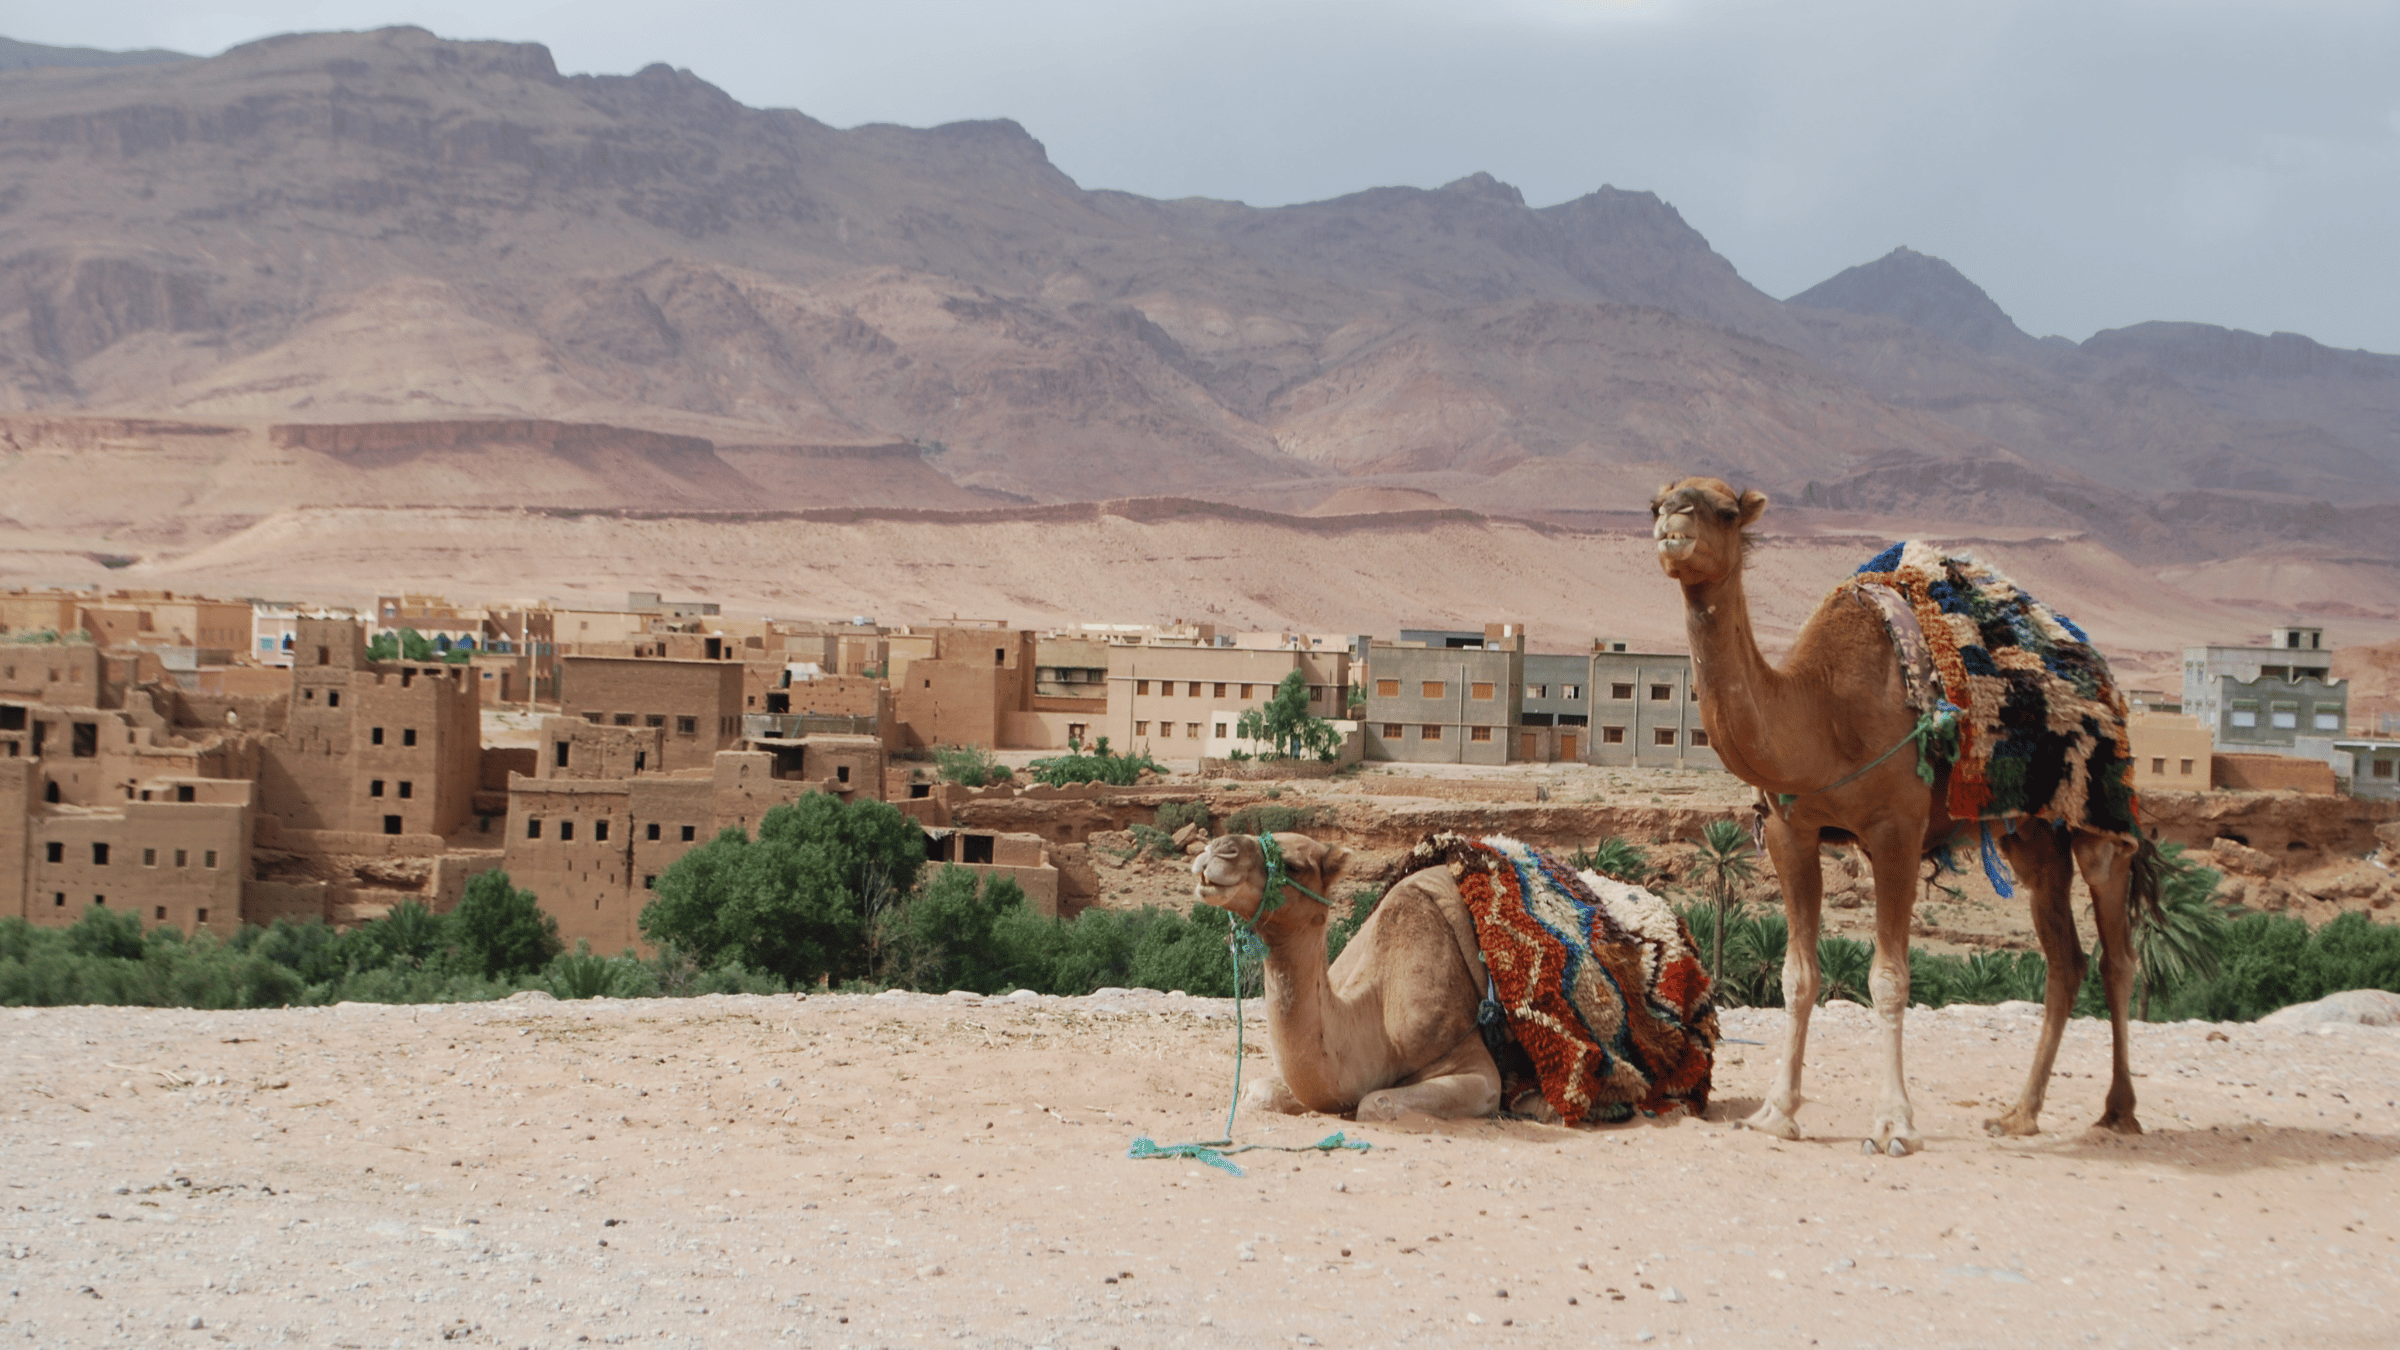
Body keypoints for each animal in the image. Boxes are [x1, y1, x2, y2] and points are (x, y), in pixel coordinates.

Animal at [1650, 476, 2149, 1154]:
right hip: (2027, 831)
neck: (1823, 709)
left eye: (1725, 511)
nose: (1673, 526)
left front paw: (1894, 1125)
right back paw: (2019, 1114)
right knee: (2065, 959)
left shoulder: (1895, 831)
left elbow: (1888, 978)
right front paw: (1777, 1112)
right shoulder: (1789, 831)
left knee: (2117, 951)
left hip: (2094, 815)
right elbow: (1797, 976)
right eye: (1656, 503)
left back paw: (2119, 1109)